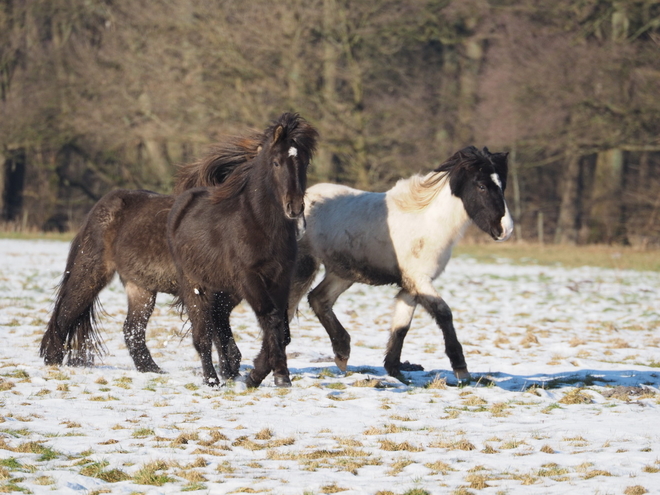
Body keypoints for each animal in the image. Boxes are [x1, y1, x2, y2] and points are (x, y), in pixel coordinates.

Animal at [38, 134, 260, 378]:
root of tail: (101, 206)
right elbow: (215, 334)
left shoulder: (225, 298)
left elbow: (224, 339)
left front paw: (231, 374)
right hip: (91, 273)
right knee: (65, 313)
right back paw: (53, 361)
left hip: (141, 288)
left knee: (132, 329)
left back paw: (151, 369)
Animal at [168, 114, 318, 390]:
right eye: (276, 162)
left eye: (303, 162)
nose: (294, 208)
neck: (259, 225)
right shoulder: (250, 278)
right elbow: (270, 318)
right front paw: (277, 375)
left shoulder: (281, 278)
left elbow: (281, 328)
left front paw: (259, 373)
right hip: (195, 285)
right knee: (202, 335)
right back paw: (212, 380)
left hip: (226, 289)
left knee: (219, 321)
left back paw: (229, 371)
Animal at [290, 145, 516, 382]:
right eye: (481, 186)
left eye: (502, 185)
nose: (505, 229)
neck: (428, 222)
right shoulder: (419, 280)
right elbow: (444, 313)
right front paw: (461, 368)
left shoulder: (410, 286)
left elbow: (401, 326)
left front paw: (395, 372)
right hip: (304, 267)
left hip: (343, 272)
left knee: (319, 299)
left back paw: (342, 354)